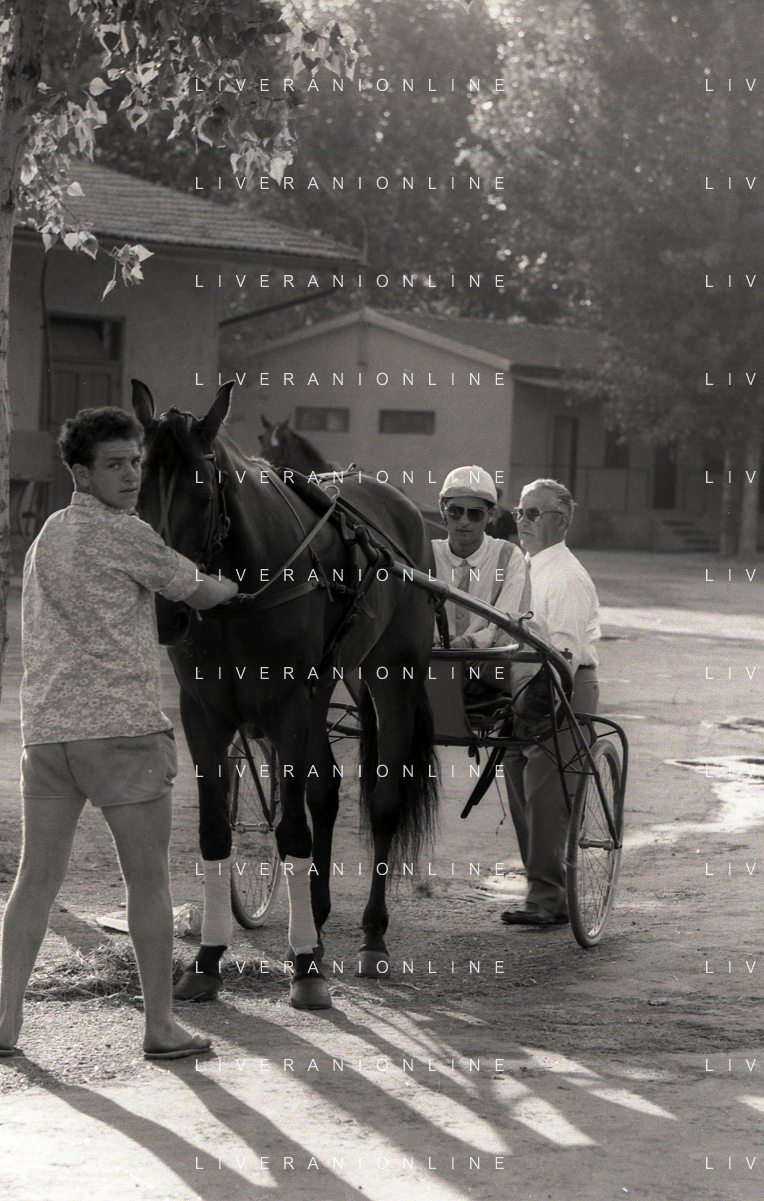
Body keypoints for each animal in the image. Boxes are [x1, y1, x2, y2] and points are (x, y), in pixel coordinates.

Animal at [133, 380, 439, 1009]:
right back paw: (315, 918)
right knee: (326, 793)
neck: (239, 593)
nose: (168, 612)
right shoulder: (203, 713)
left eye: (203, 493)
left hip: (389, 679)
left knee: (382, 802)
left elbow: (293, 828)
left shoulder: (291, 706)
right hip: (329, 689)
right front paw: (207, 960)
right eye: (140, 483)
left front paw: (305, 970)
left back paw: (372, 934)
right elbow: (215, 831)